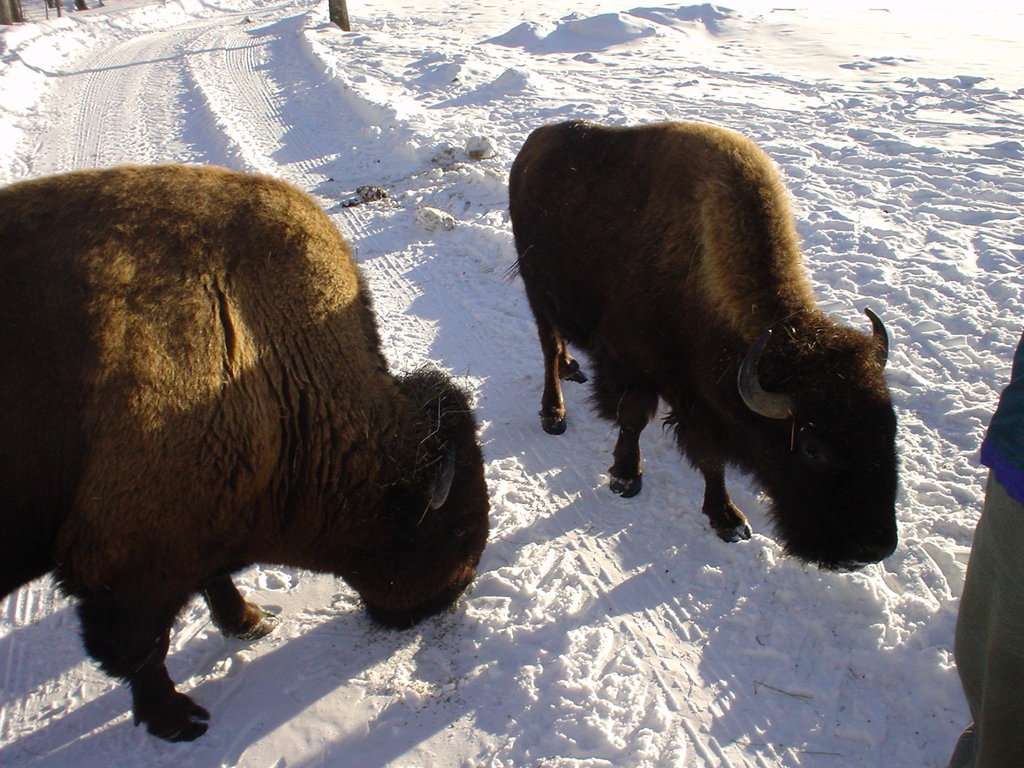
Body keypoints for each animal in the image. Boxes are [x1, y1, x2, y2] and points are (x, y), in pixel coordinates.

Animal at [0, 165, 491, 741]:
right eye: (455, 528)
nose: (451, 594)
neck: (260, 346)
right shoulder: (127, 561)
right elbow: (141, 650)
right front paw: (180, 721)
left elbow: (212, 580)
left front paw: (252, 622)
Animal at [512, 120, 897, 573]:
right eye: (812, 449)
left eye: (889, 428)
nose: (874, 549)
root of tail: (535, 142)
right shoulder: (641, 370)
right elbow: (634, 420)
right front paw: (626, 478)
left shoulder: (701, 403)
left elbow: (712, 458)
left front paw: (728, 520)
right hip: (538, 292)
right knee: (548, 347)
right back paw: (554, 414)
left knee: (557, 347)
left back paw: (573, 367)